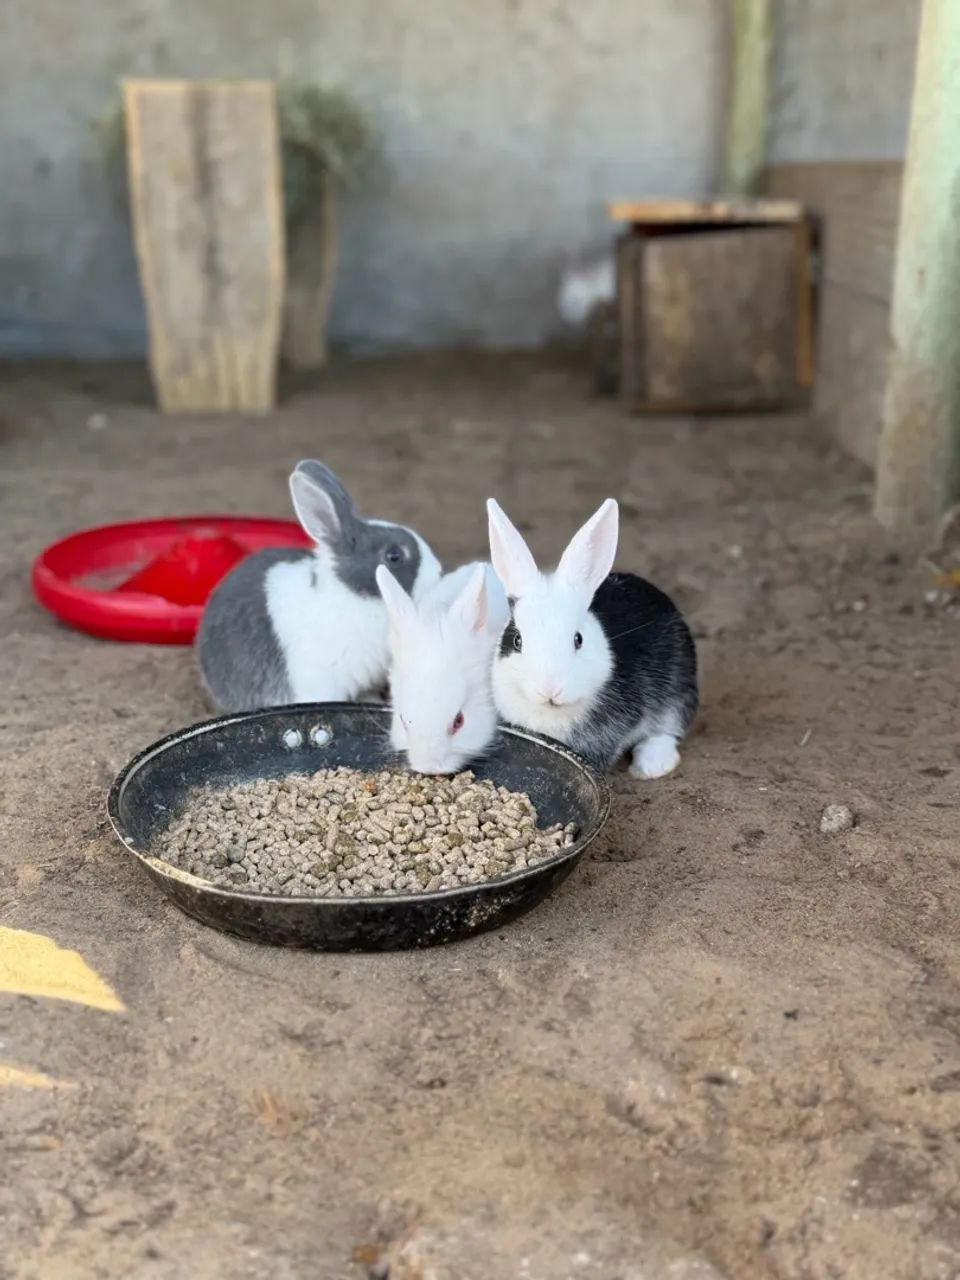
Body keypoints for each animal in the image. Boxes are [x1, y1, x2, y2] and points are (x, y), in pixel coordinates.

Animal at [486, 497, 697, 778]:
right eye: (517, 640)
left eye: (578, 639)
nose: (550, 690)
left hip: (678, 689)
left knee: (667, 730)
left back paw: (651, 766)